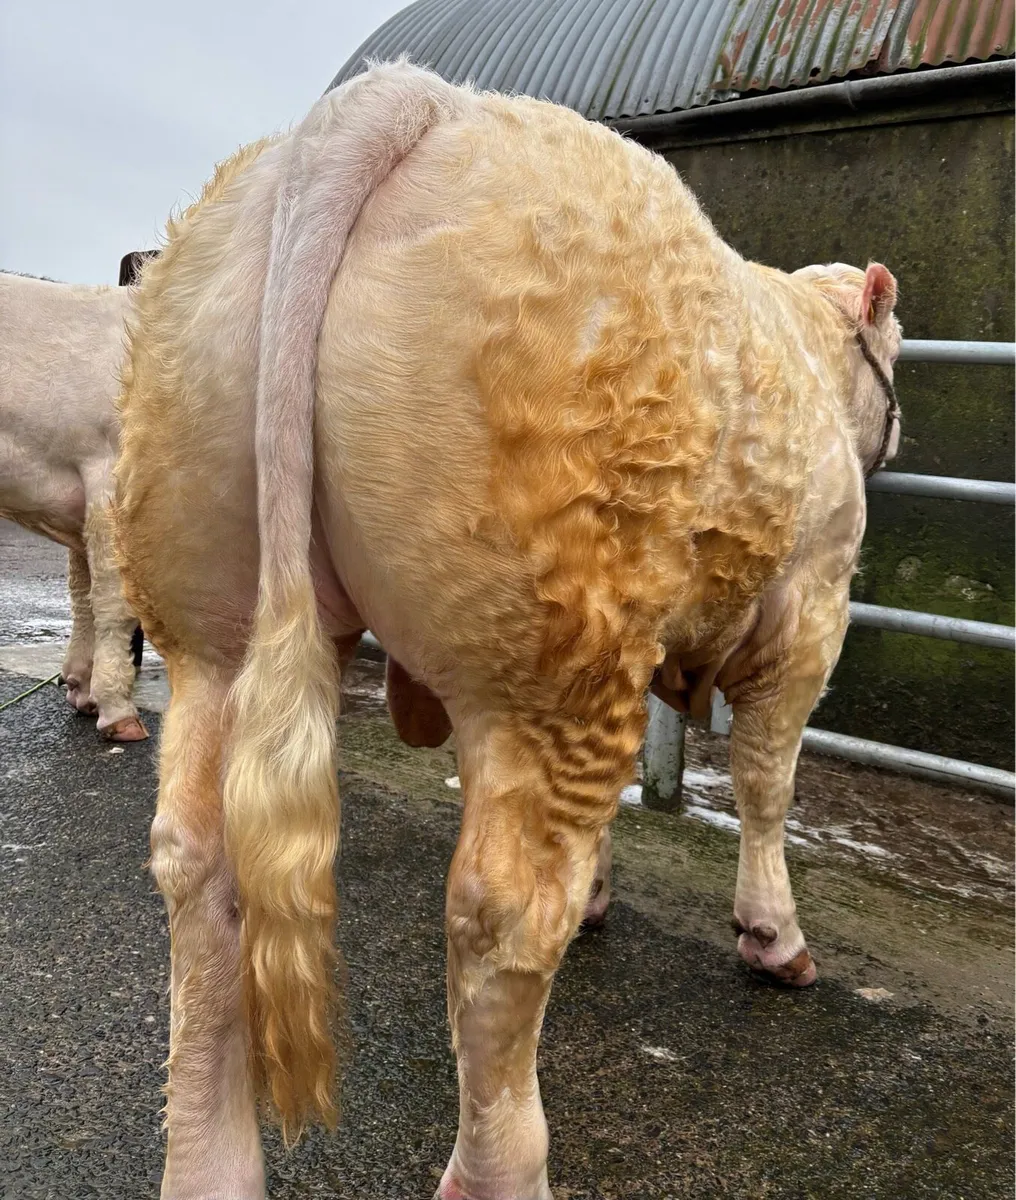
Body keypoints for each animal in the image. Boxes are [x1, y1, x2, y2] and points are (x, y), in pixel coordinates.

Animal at [113, 62, 901, 1199]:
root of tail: (409, 99)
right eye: (897, 351)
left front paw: (609, 891)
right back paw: (502, 1166)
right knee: (500, 914)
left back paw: (208, 1165)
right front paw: (773, 934)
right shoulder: (810, 603)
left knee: (198, 863)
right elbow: (766, 781)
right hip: (549, 652)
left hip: (210, 622)